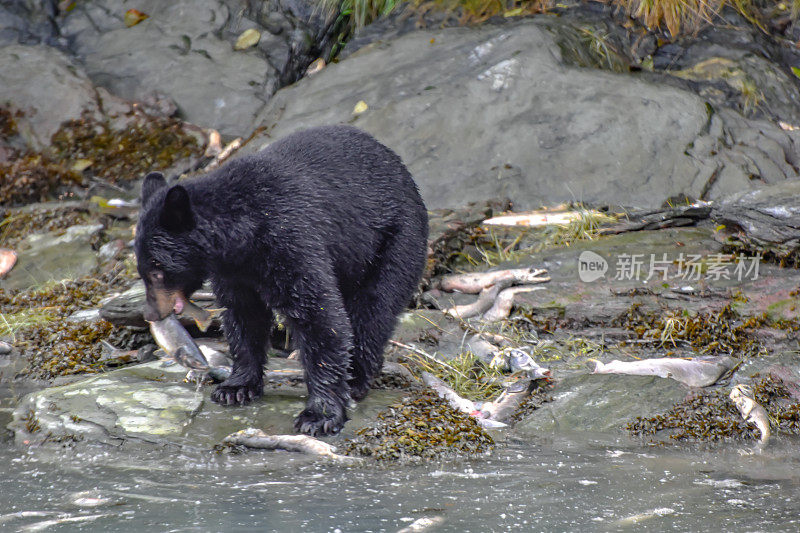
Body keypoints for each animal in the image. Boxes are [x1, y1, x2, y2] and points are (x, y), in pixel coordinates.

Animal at [134, 125, 428, 436]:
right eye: (141, 267)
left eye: (157, 268)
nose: (151, 313)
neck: (244, 233)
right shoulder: (235, 272)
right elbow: (243, 317)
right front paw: (236, 387)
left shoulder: (290, 240)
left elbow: (319, 316)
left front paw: (319, 415)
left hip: (394, 241)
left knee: (374, 309)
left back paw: (357, 378)